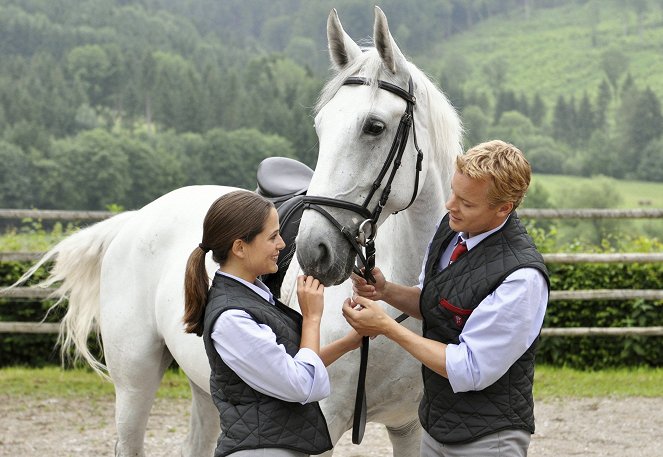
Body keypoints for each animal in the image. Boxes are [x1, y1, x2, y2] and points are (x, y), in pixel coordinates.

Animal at [15, 8, 462, 456]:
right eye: (321, 127)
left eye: (374, 126)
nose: (314, 251)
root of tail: (137, 218)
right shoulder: (321, 419)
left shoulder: (408, 426)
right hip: (134, 382)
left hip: (204, 386)